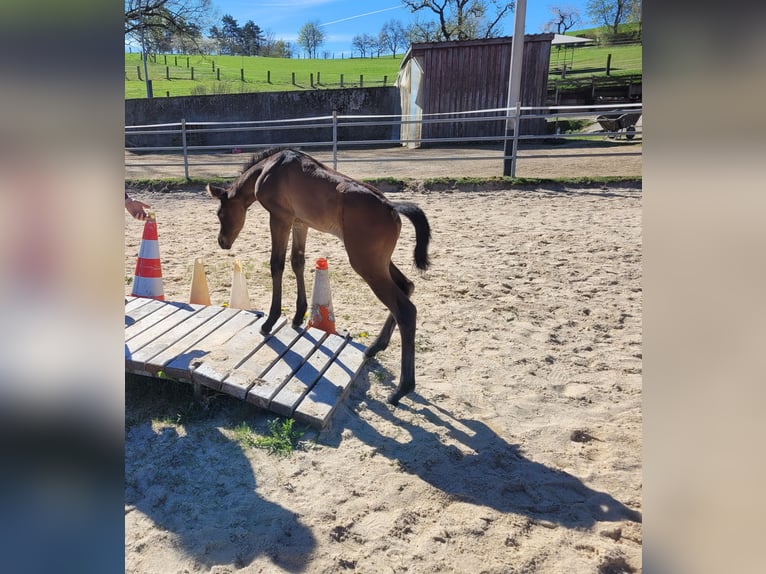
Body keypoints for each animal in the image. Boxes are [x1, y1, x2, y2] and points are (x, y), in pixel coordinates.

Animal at [207, 147, 432, 405]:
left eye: (220, 213)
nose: (222, 242)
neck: (271, 167)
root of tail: (392, 208)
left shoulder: (280, 218)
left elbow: (277, 265)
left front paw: (270, 320)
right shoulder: (300, 223)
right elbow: (297, 262)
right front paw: (297, 316)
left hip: (366, 263)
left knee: (405, 310)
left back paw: (401, 389)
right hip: (379, 262)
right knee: (406, 286)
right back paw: (374, 348)